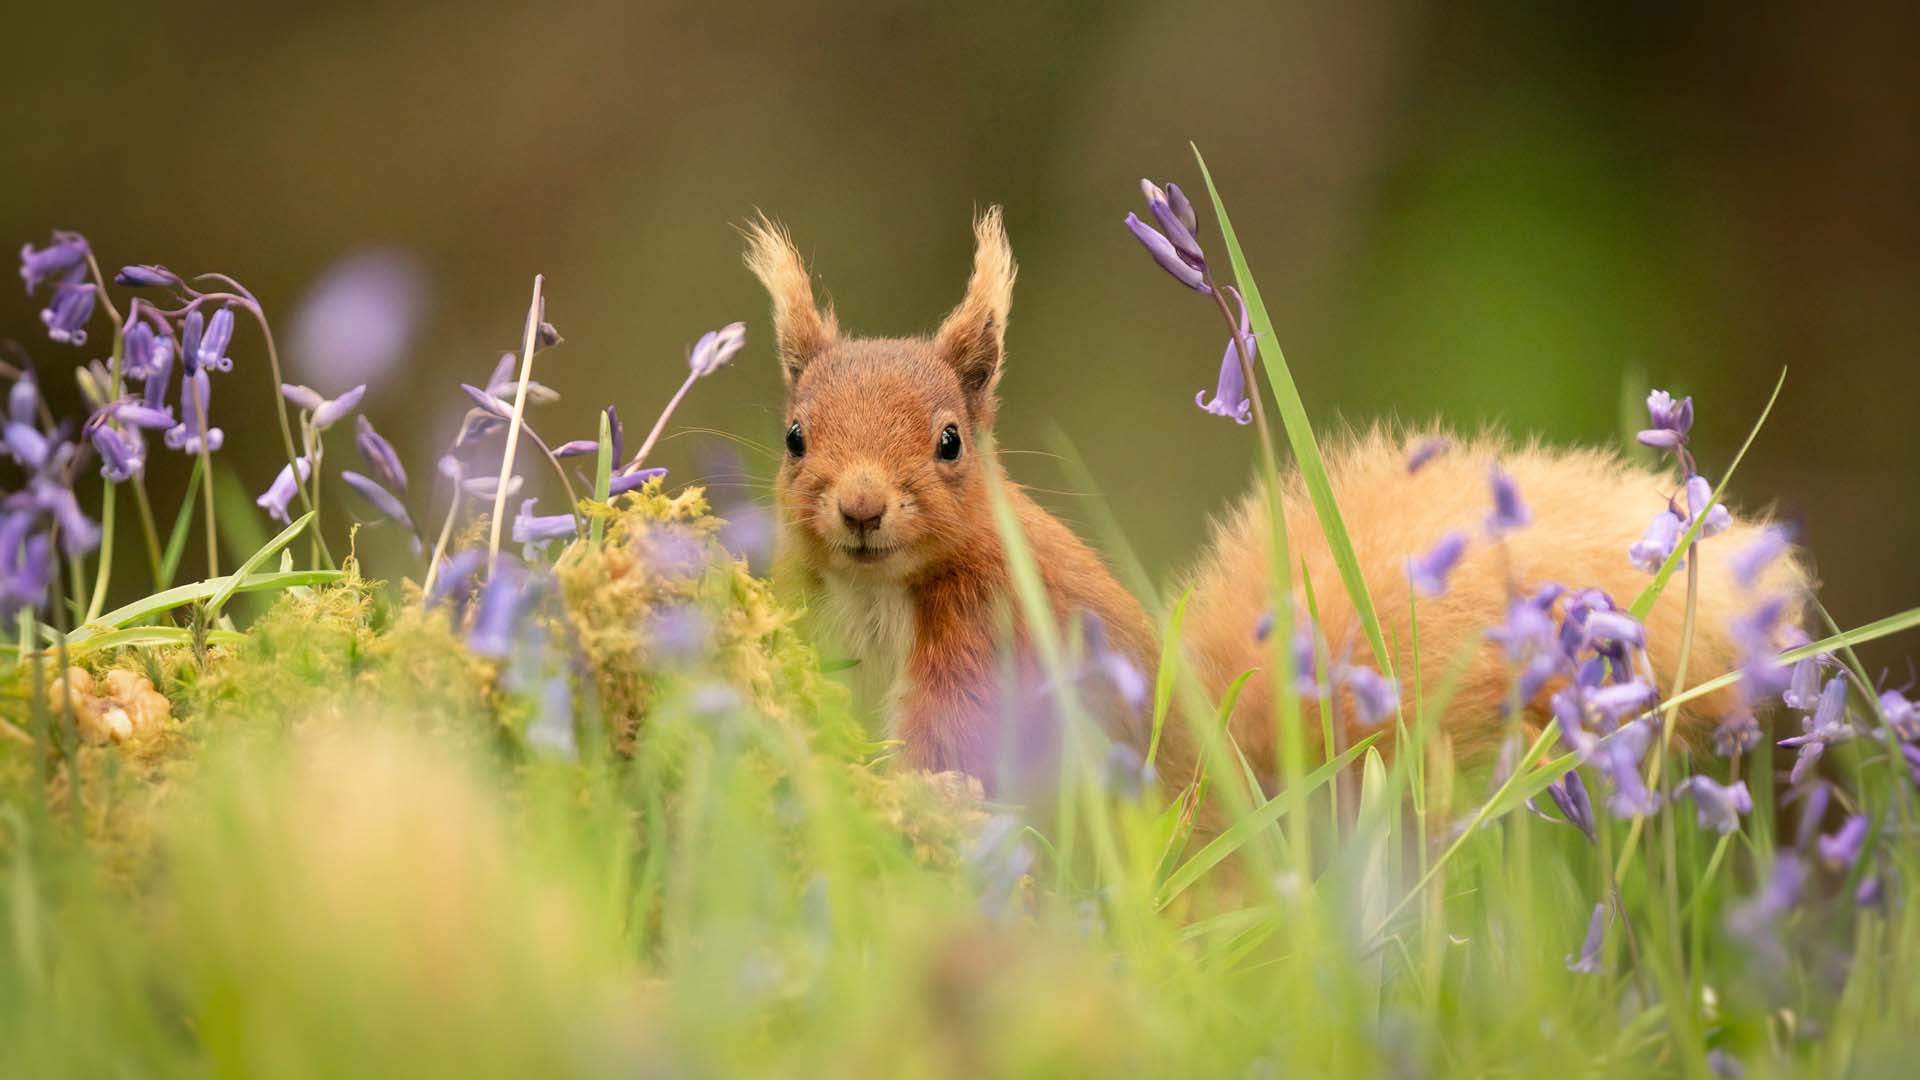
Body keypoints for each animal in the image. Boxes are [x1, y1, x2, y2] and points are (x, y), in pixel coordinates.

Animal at [743, 208, 1810, 790]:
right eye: (794, 437)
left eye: (951, 442)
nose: (862, 508)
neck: (873, 595)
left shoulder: (989, 634)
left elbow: (953, 753)